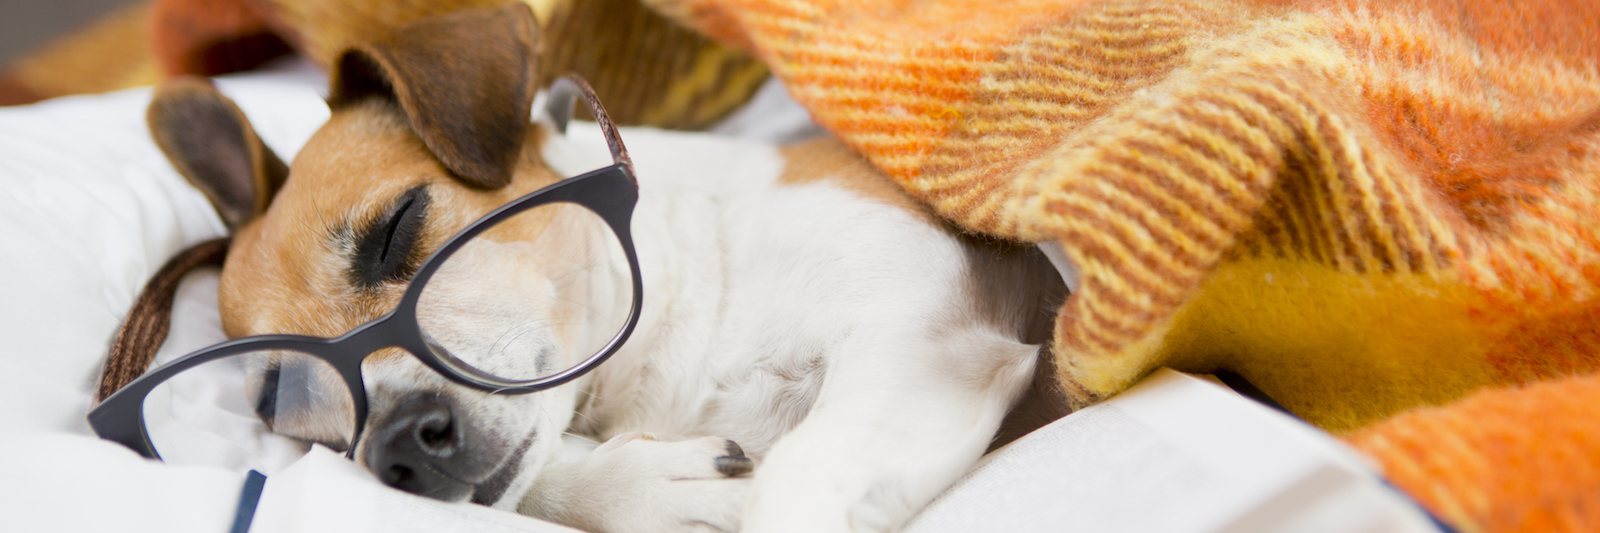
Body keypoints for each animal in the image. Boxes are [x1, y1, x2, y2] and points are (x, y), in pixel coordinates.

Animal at [150, 4, 1068, 531]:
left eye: (397, 227)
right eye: (280, 397)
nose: (399, 445)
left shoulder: (922, 335)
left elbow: (799, 485)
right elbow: (533, 478)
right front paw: (643, 484)